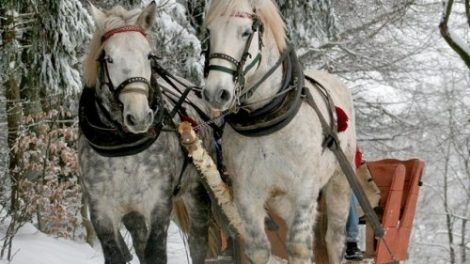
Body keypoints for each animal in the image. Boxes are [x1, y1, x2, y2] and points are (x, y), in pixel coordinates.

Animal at [202, 1, 356, 262]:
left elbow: (298, 248)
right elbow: (259, 249)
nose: (216, 93)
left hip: (339, 181)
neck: (266, 122)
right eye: (209, 32)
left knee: (334, 239)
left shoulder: (303, 192)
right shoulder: (247, 196)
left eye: (246, 32)